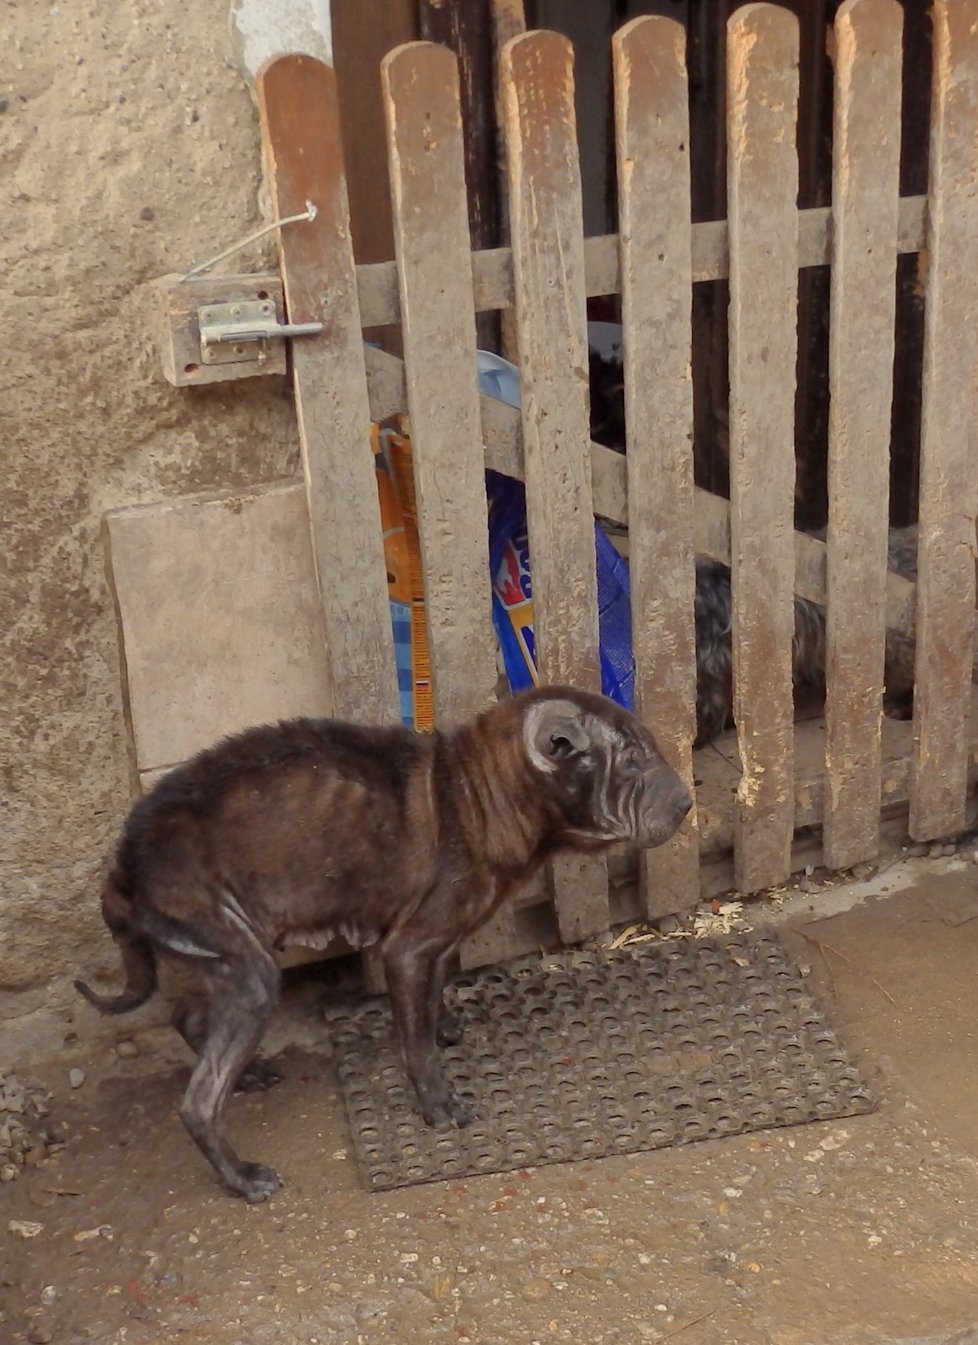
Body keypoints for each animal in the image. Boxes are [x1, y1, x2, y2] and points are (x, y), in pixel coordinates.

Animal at [74, 688, 688, 1205]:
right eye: (631, 760)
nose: (686, 803)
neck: (478, 792)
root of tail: (123, 870)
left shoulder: (434, 947)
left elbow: (431, 1000)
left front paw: (442, 1027)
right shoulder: (408, 949)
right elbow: (414, 1045)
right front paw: (438, 1104)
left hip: (224, 957)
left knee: (187, 1017)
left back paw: (244, 1075)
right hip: (249, 971)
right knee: (199, 1100)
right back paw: (242, 1177)